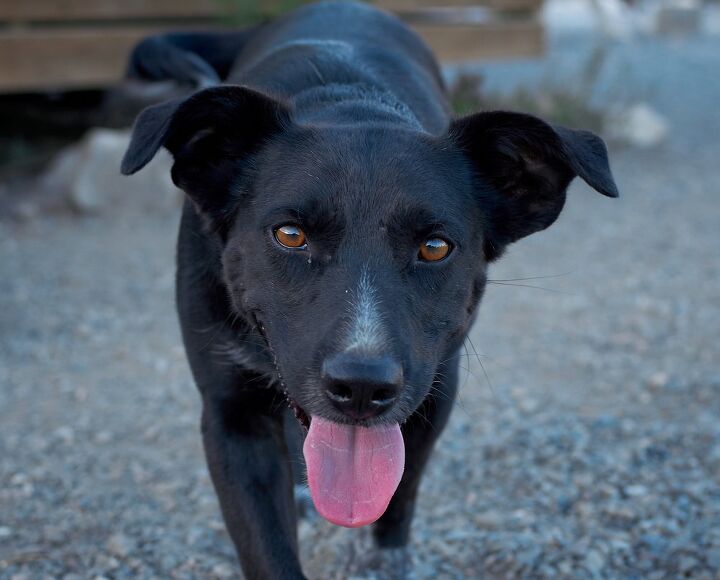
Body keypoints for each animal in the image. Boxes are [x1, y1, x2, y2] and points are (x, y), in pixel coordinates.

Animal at [121, 2, 616, 576]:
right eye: (290, 235)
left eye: (435, 247)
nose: (361, 387)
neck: (349, 105)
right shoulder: (230, 415)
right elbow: (267, 549)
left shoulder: (435, 388)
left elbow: (400, 494)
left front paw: (385, 554)